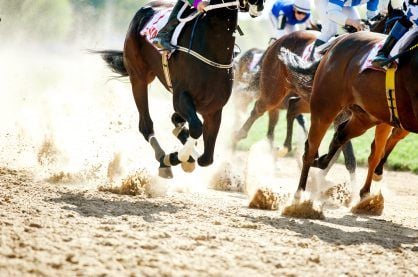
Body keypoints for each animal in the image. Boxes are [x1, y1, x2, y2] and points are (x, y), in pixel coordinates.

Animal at [96, 0, 262, 177]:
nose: (258, 5)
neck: (213, 51)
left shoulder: (214, 110)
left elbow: (206, 159)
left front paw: (186, 153)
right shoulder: (181, 96)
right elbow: (196, 128)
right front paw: (176, 158)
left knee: (176, 122)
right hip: (138, 77)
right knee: (146, 125)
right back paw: (163, 158)